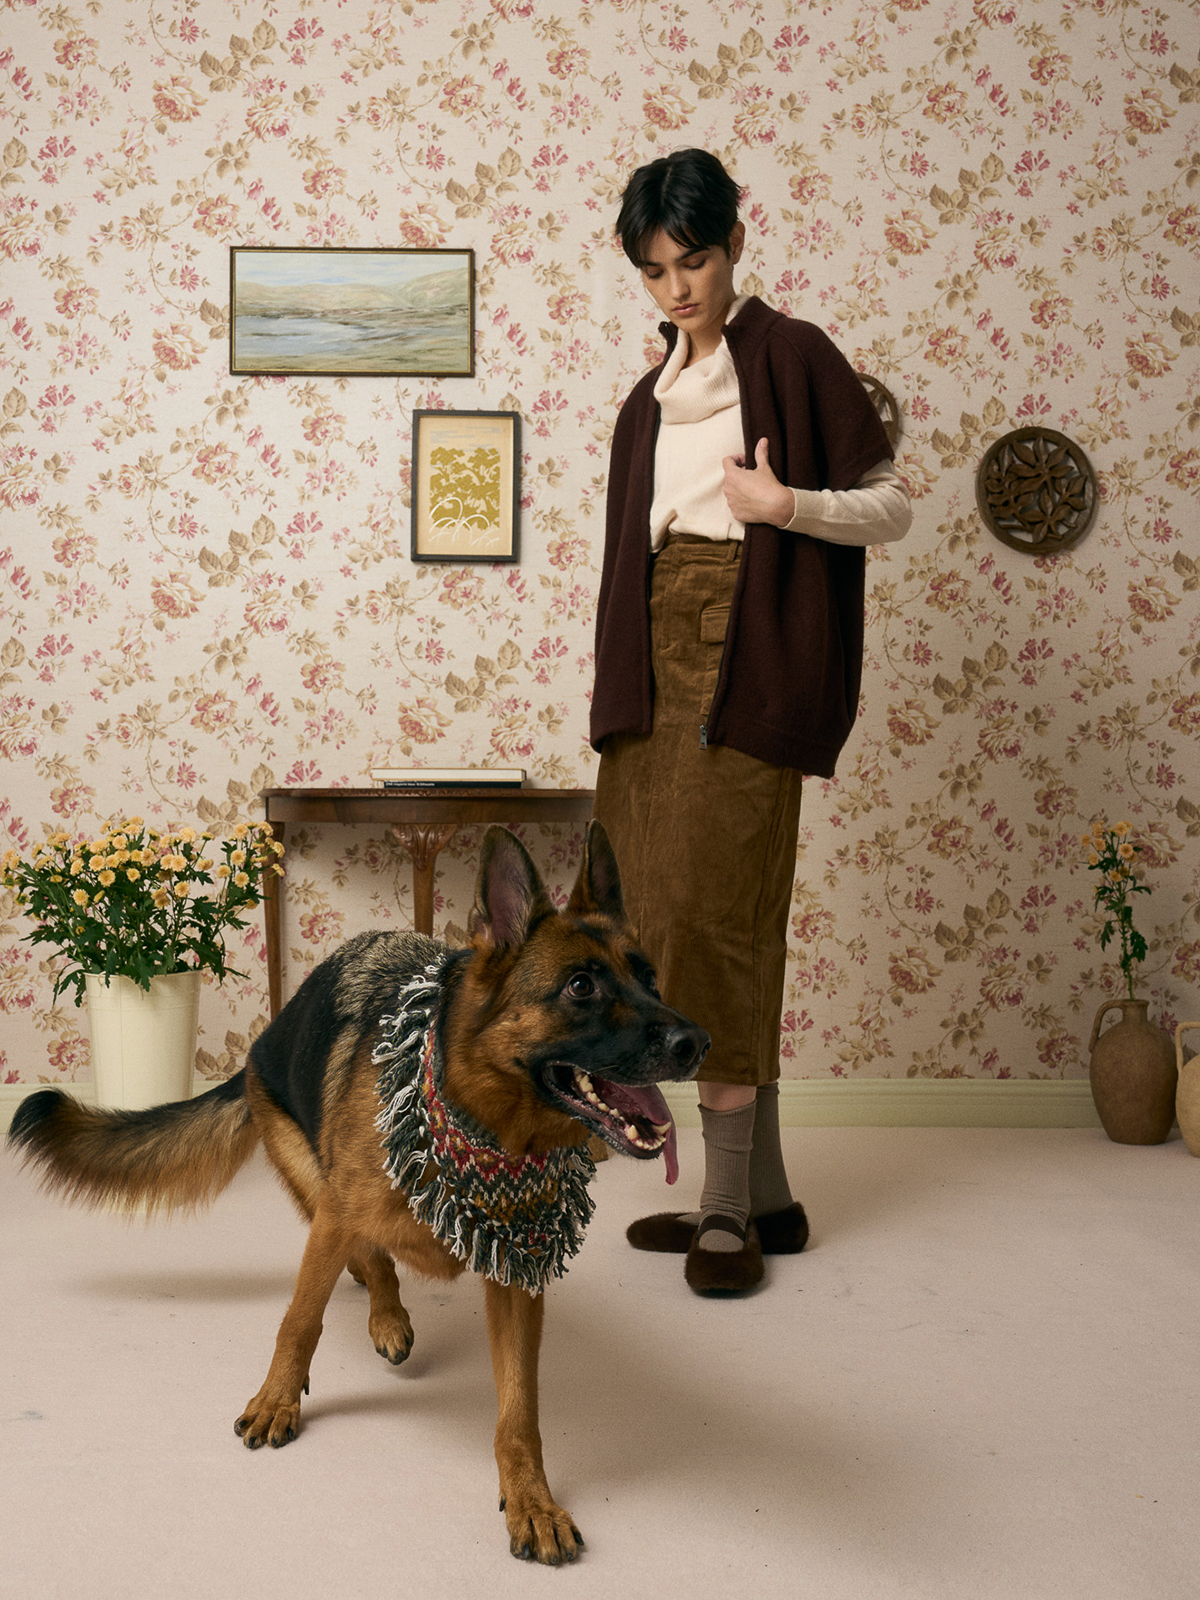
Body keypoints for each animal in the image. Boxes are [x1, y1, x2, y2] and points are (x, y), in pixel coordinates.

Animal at [8, 822, 708, 1565]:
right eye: (580, 986)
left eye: (649, 977)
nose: (698, 1041)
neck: (480, 1128)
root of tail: (264, 1039)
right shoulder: (339, 1215)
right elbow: (298, 1320)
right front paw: (278, 1399)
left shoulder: (517, 1277)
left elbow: (520, 1408)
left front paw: (531, 1500)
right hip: (312, 1177)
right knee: (366, 1256)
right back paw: (384, 1315)